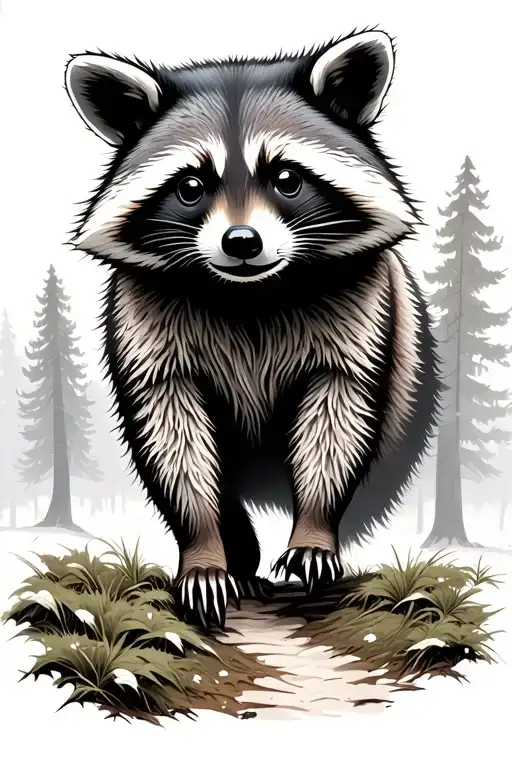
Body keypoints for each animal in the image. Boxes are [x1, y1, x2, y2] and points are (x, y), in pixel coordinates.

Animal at [65, 29, 441, 629]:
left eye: (286, 178)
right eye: (191, 186)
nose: (242, 241)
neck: (249, 294)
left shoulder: (362, 307)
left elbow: (338, 420)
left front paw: (315, 530)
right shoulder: (144, 319)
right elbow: (173, 440)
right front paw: (205, 551)